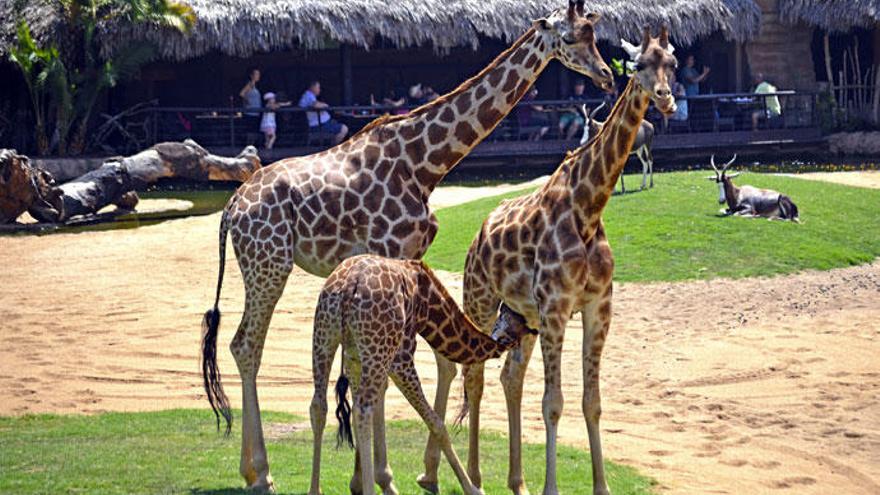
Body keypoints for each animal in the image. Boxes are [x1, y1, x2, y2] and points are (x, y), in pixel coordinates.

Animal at [310, 256, 532, 495]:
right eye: (519, 323)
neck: (429, 306)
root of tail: (349, 287)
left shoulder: (354, 358)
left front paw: (359, 483)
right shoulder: (402, 355)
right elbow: (437, 423)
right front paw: (471, 488)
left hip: (324, 335)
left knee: (319, 407)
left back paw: (315, 490)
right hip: (378, 347)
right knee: (362, 409)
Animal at [430, 28, 676, 495]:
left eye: (671, 61)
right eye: (638, 65)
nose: (666, 98)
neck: (588, 208)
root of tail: (478, 235)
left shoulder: (598, 307)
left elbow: (591, 402)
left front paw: (601, 486)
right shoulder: (557, 308)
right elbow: (553, 403)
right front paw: (551, 488)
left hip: (522, 316)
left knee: (509, 378)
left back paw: (516, 481)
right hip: (481, 299)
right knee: (474, 375)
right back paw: (469, 478)